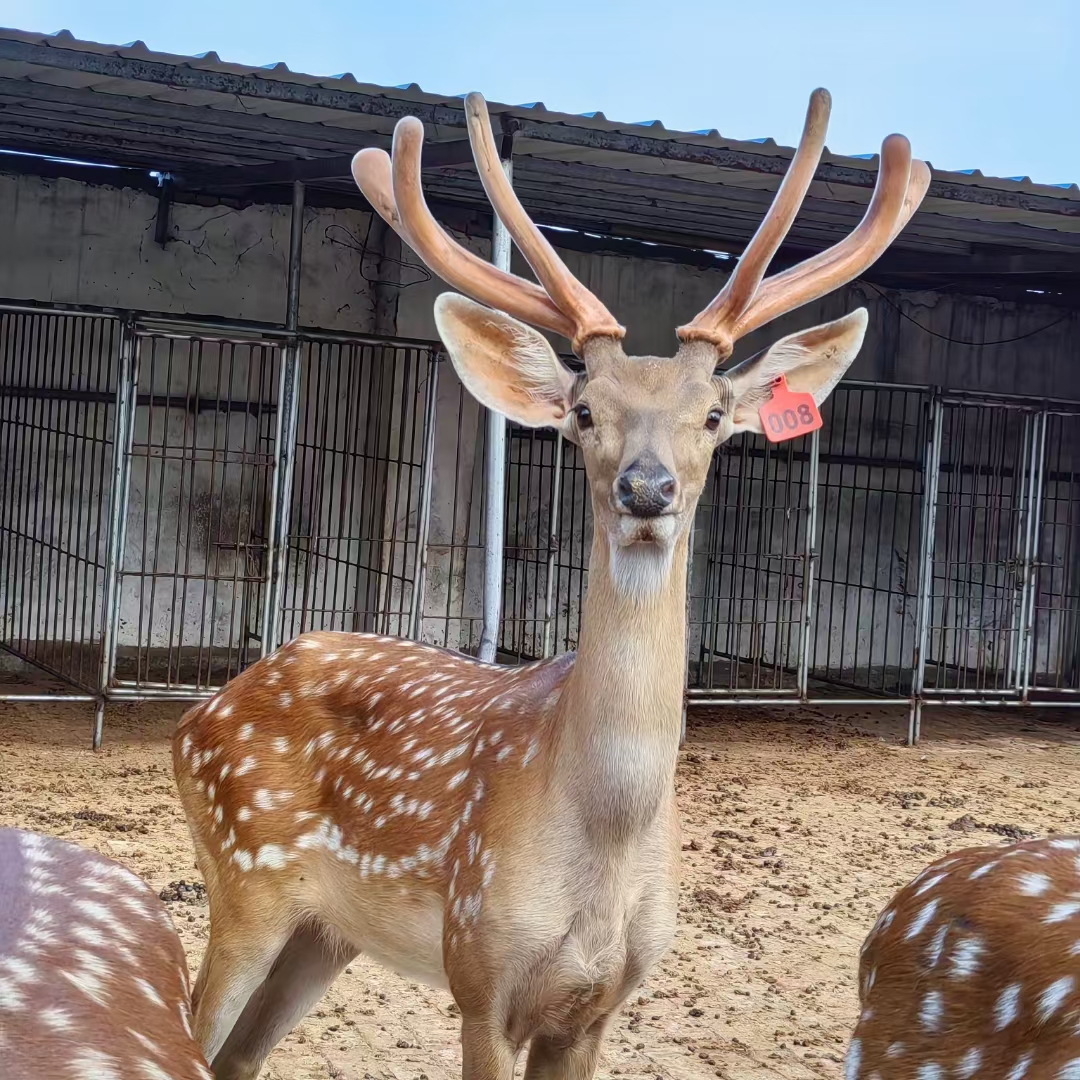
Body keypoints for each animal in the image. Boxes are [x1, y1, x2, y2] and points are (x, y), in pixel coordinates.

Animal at [170, 86, 928, 1080]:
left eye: (714, 416)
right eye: (584, 413)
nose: (646, 488)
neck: (605, 846)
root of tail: (197, 714)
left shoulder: (601, 1003)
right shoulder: (480, 971)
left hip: (323, 933)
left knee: (238, 1058)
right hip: (242, 875)